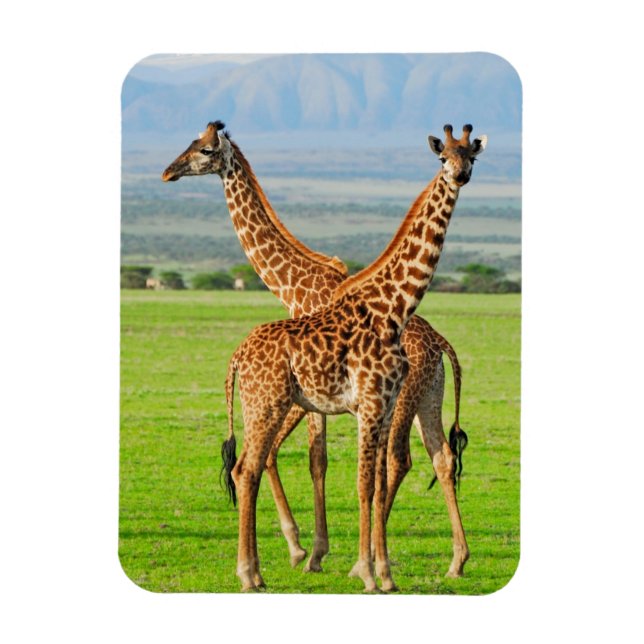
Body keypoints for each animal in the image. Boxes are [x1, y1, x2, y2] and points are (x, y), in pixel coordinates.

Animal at [162, 122, 479, 579]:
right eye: (189, 143)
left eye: (204, 150)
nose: (168, 171)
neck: (293, 284)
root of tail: (442, 344)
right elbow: (300, 457)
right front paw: (310, 548)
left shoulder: (317, 395)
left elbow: (314, 460)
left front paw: (309, 551)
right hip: (428, 399)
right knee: (441, 458)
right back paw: (455, 560)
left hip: (403, 400)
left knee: (398, 460)